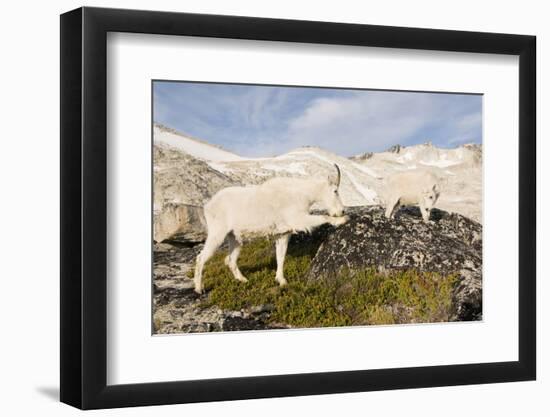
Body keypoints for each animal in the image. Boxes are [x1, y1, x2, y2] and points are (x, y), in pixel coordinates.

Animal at [194, 165, 350, 292]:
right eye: (335, 191)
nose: (342, 211)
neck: (302, 194)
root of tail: (207, 206)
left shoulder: (283, 233)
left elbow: (280, 257)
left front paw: (282, 281)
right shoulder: (298, 219)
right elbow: (322, 217)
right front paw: (342, 220)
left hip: (234, 237)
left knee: (230, 259)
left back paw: (243, 280)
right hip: (217, 232)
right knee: (201, 257)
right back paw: (199, 288)